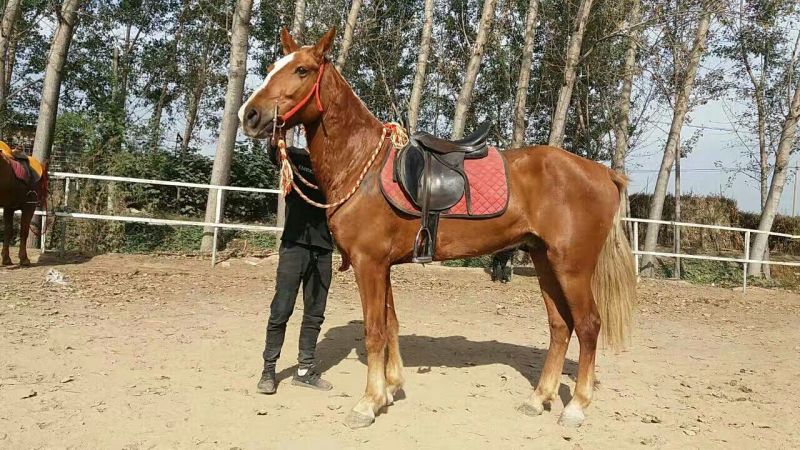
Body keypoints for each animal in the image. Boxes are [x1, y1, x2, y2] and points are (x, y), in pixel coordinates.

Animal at [239, 27, 636, 429]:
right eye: (271, 67)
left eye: (302, 70)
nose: (249, 115)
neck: (362, 167)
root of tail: (603, 172)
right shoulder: (382, 266)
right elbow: (390, 325)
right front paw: (389, 389)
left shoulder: (369, 264)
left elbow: (374, 331)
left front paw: (367, 403)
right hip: (544, 261)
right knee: (560, 326)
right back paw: (538, 399)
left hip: (572, 267)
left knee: (588, 325)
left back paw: (575, 407)